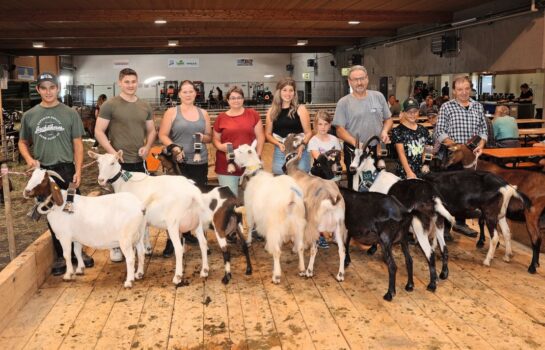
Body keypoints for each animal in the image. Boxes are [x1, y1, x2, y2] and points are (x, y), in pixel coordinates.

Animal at [88, 150, 209, 284]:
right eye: (98, 163)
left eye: (112, 163)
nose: (101, 180)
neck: (124, 182)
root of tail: (193, 192)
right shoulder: (144, 220)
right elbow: (145, 233)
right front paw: (148, 249)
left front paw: (137, 269)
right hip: (197, 221)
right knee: (203, 242)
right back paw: (204, 271)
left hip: (173, 222)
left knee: (179, 249)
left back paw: (177, 277)